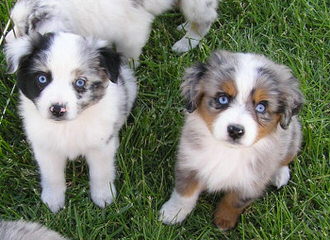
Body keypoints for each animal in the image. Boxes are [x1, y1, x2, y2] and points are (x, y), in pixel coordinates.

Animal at [5, 31, 137, 212]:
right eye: (42, 79)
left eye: (80, 82)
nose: (57, 109)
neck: (68, 126)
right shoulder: (45, 148)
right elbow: (52, 175)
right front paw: (53, 200)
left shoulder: (99, 146)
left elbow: (101, 172)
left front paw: (103, 196)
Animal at [6, 0, 218, 62]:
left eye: (24, 32)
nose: (6, 39)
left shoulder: (133, 29)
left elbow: (128, 53)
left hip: (196, 4)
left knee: (206, 19)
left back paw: (186, 42)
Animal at [159, 50, 302, 231]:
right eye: (223, 99)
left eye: (261, 107)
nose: (235, 130)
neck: (228, 151)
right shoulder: (189, 162)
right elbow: (184, 193)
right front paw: (172, 213)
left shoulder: (250, 182)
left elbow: (233, 202)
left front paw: (223, 223)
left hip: (294, 138)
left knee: (286, 158)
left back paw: (279, 175)